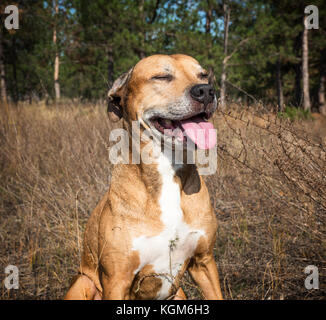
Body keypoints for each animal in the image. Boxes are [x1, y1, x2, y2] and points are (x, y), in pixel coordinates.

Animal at [65, 53, 224, 300]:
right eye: (161, 77)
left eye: (203, 75)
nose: (206, 91)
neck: (168, 170)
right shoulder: (117, 280)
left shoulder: (204, 262)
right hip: (83, 282)